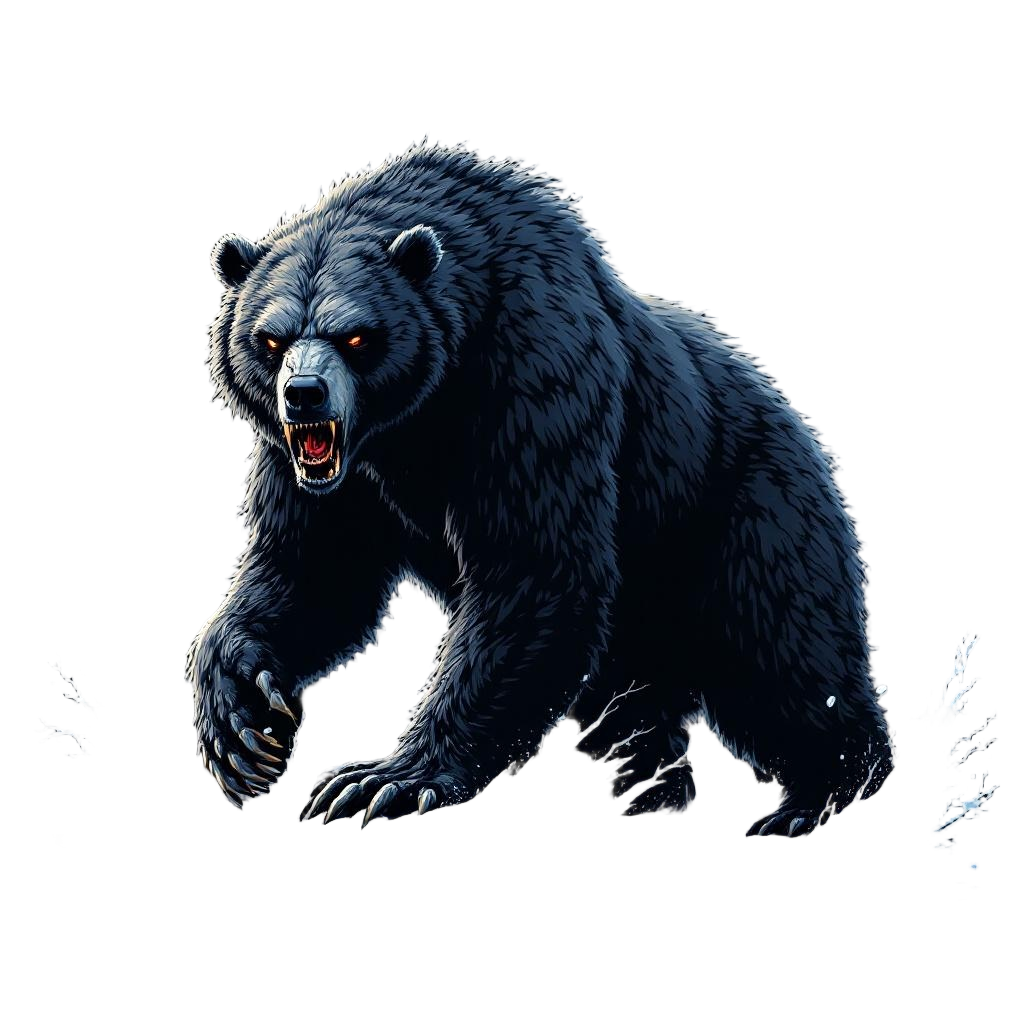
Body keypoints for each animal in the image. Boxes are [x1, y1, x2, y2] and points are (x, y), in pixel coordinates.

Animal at [187, 132, 900, 838]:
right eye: (270, 338)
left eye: (357, 334)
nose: (304, 394)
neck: (413, 422)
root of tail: (803, 432)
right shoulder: (332, 473)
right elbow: (312, 571)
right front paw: (242, 730)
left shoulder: (533, 380)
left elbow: (534, 568)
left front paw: (381, 779)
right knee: (640, 698)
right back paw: (647, 783)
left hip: (744, 509)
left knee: (781, 650)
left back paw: (812, 795)